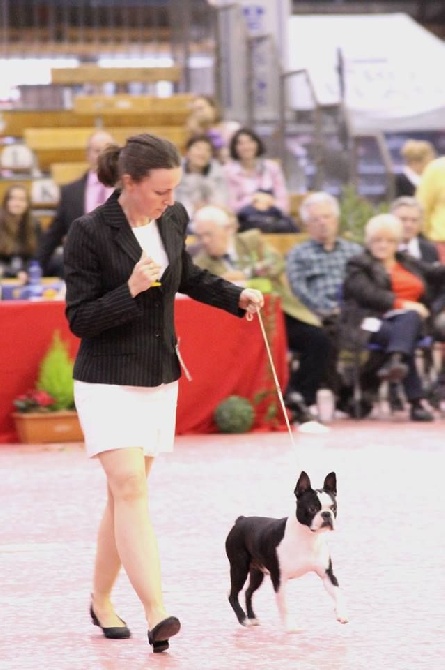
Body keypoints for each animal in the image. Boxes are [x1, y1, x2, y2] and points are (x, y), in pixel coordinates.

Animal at [225, 472, 346, 632]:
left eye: (333, 508)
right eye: (312, 509)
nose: (326, 514)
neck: (308, 537)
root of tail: (240, 520)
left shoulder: (327, 575)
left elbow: (338, 594)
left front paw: (341, 613)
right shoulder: (279, 579)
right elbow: (284, 605)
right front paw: (290, 626)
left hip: (257, 572)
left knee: (248, 592)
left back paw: (252, 617)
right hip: (239, 568)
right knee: (233, 594)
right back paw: (244, 620)